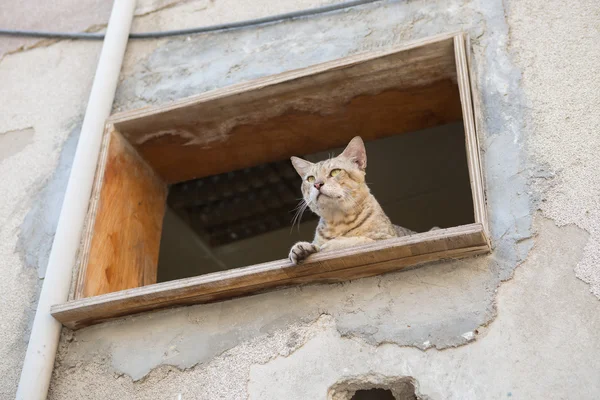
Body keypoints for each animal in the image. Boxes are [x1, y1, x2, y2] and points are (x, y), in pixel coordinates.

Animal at [288, 135, 424, 266]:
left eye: (335, 172)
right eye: (310, 178)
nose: (317, 184)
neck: (337, 221)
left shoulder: (386, 239)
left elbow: (357, 241)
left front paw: (330, 244)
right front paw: (302, 247)